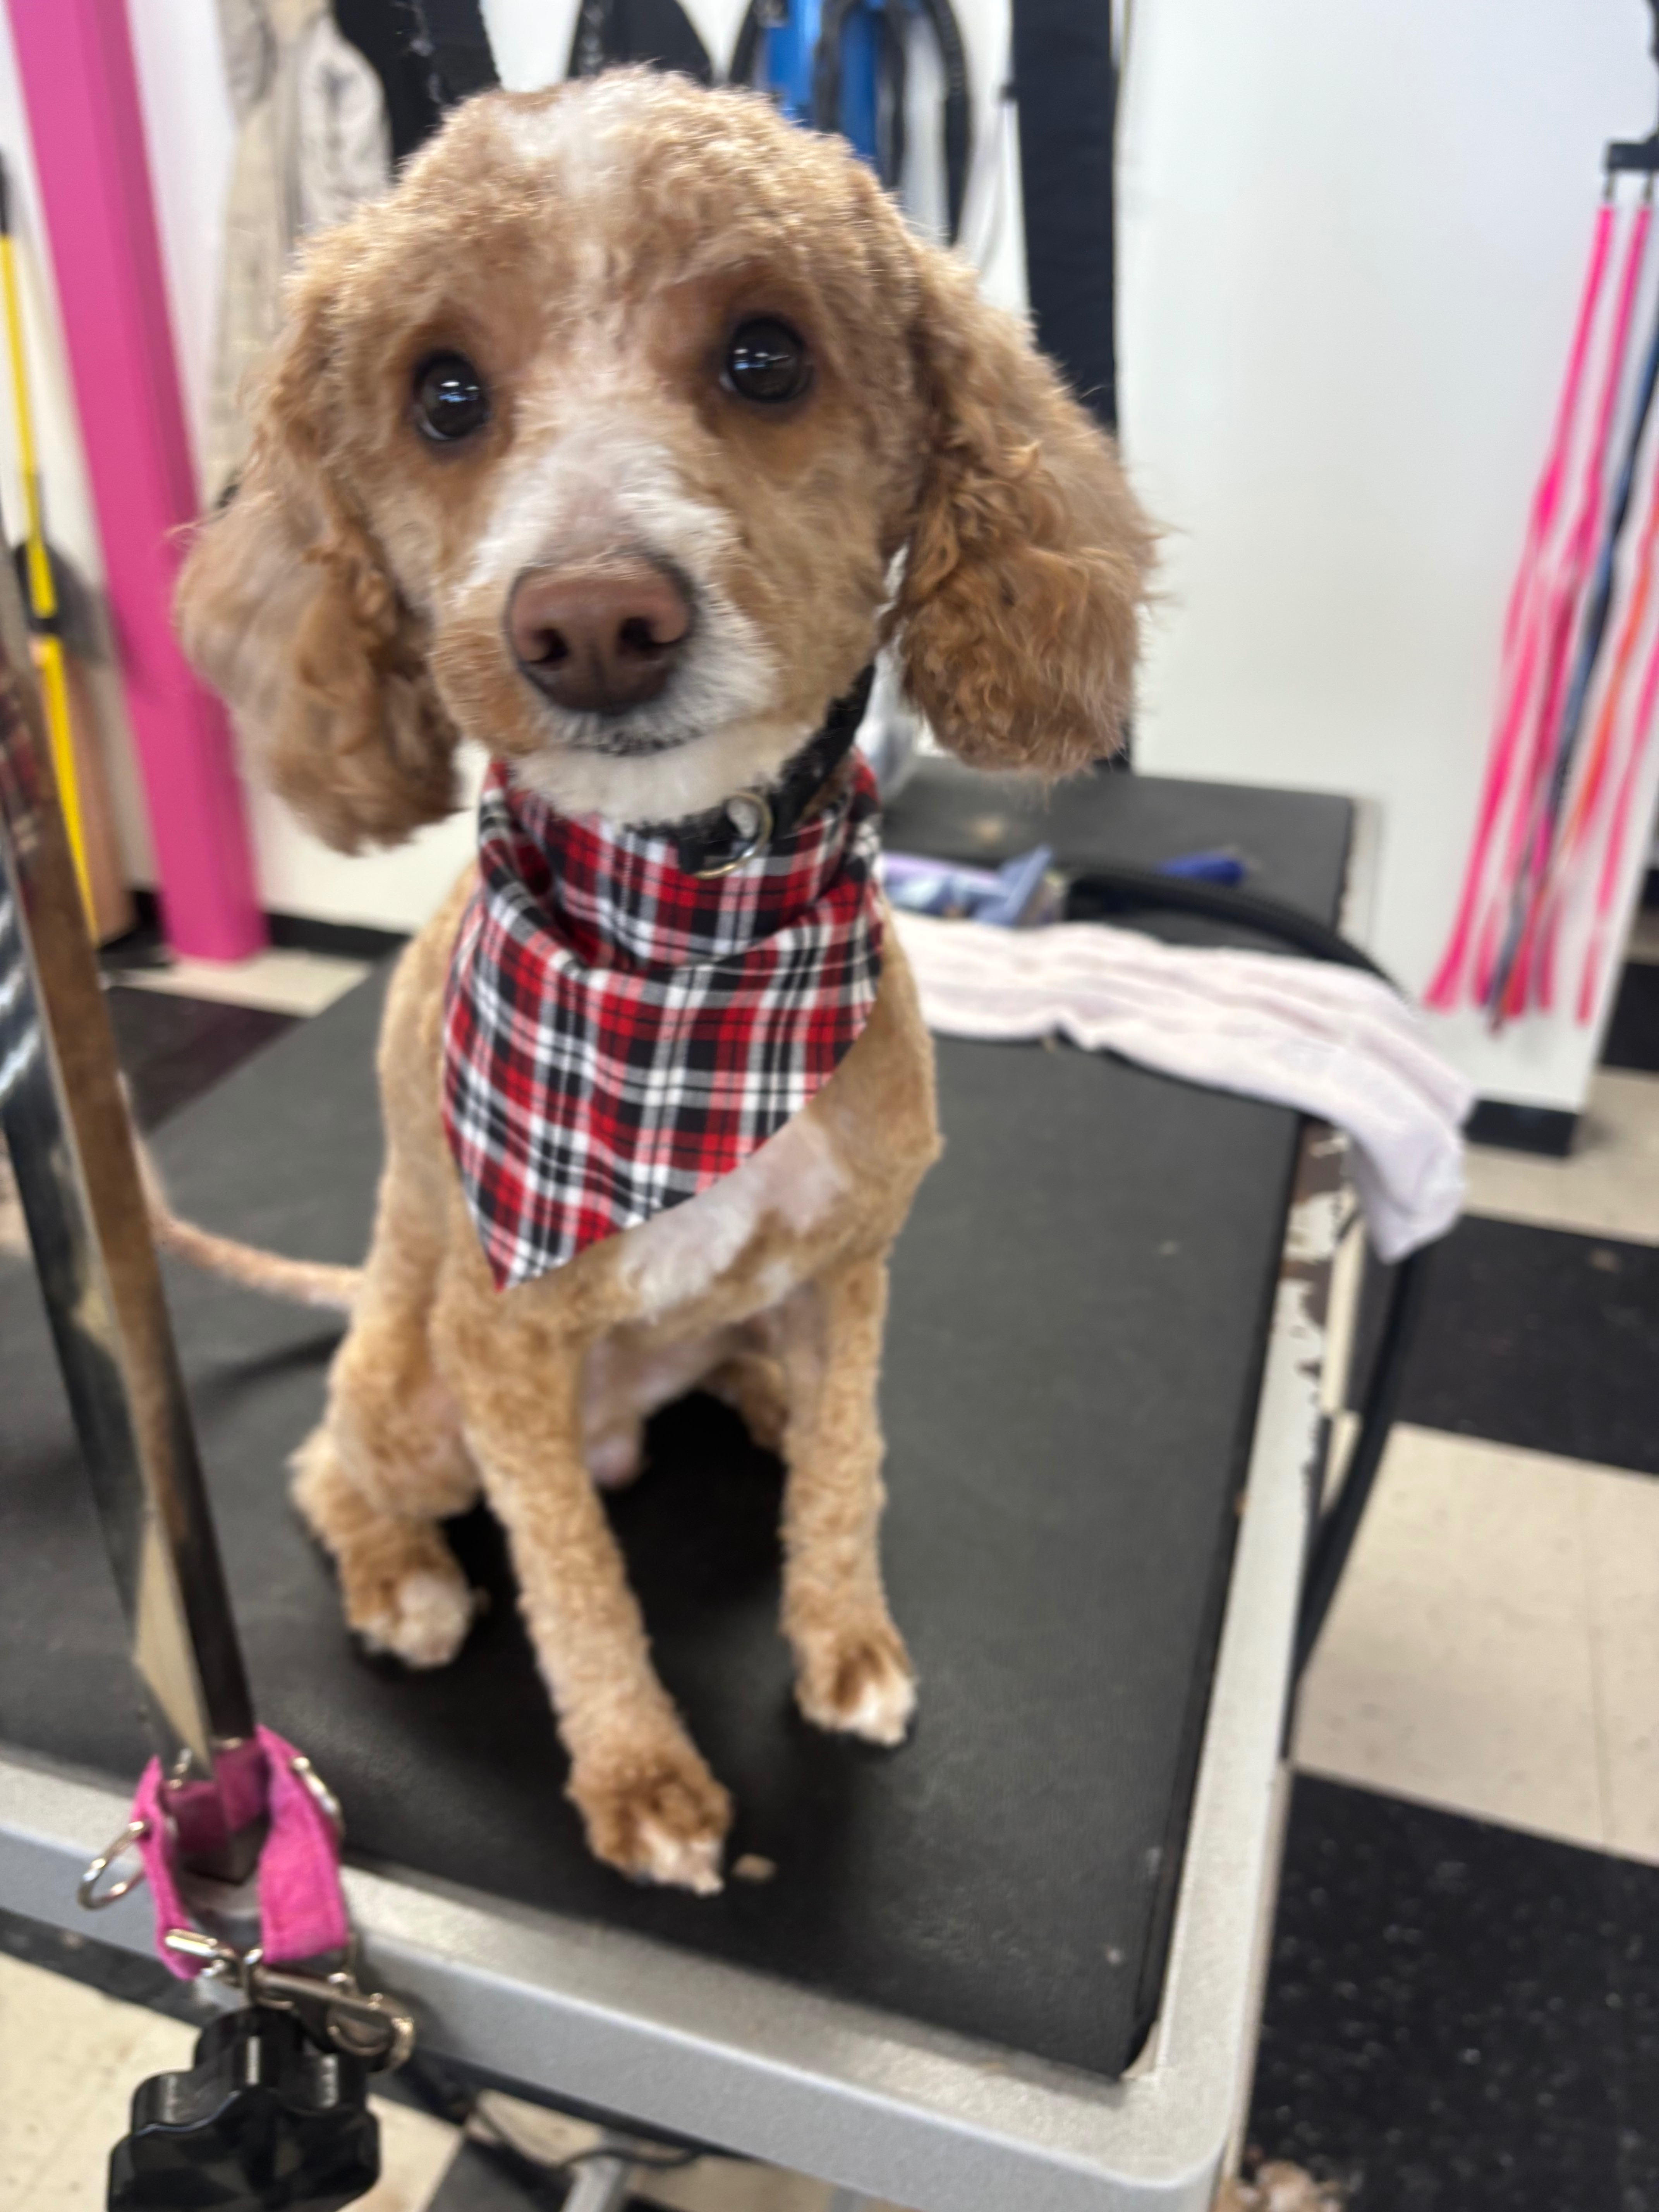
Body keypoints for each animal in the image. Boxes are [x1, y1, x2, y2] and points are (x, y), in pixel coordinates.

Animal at [175, 69, 1154, 1892]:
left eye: (766, 358)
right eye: (443, 394)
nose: (591, 621)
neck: (689, 951)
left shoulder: (849, 1264)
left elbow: (846, 1478)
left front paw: (844, 1641)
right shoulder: (500, 1347)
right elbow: (575, 1583)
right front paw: (641, 1777)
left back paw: (752, 1399)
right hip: (413, 1381)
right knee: (328, 1460)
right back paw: (401, 1579)